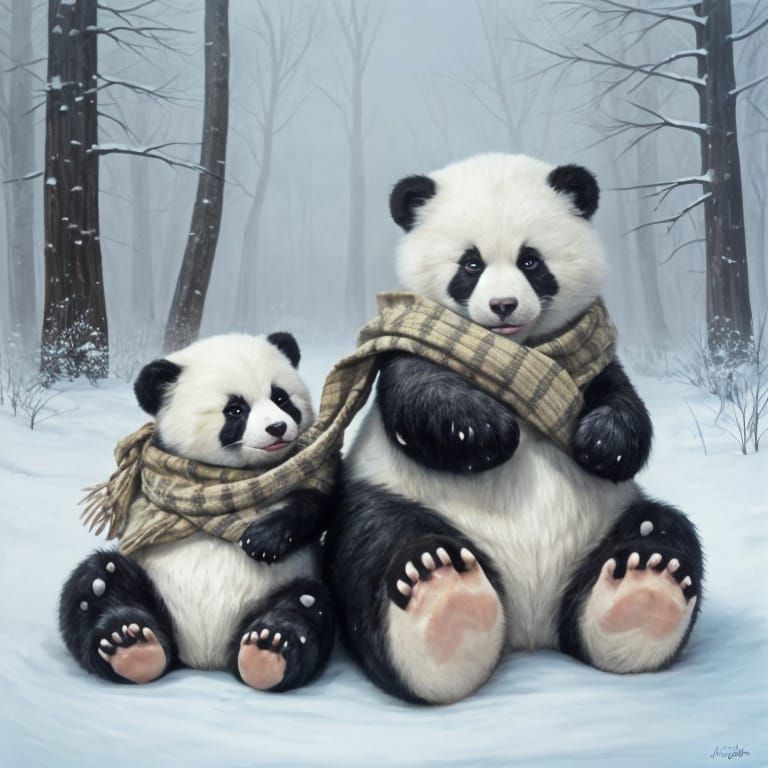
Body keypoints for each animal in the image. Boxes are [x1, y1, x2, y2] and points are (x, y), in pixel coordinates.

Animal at [59, 332, 334, 691]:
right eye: (236, 409)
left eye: (281, 397)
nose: (277, 427)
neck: (232, 478)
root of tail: (205, 658)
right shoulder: (151, 487)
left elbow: (318, 504)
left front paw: (263, 540)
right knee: (97, 577)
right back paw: (129, 642)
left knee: (308, 602)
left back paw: (269, 647)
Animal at [325, 153, 703, 705]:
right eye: (471, 264)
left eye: (531, 261)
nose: (503, 305)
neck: (515, 352)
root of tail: (529, 627)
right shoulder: (412, 346)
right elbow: (420, 397)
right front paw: (488, 432)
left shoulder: (594, 365)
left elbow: (624, 402)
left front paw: (601, 444)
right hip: (397, 499)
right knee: (376, 544)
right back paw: (440, 592)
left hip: (608, 520)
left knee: (662, 529)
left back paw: (645, 581)